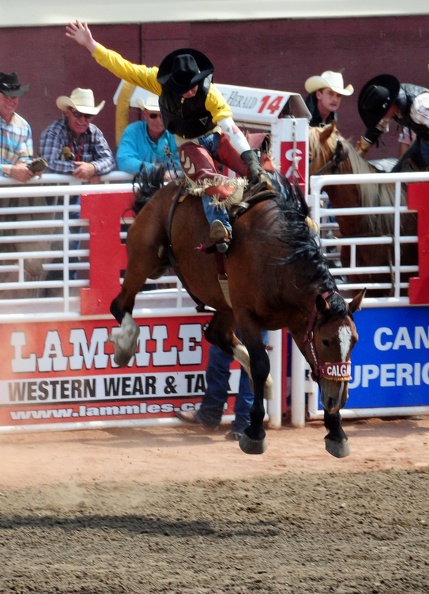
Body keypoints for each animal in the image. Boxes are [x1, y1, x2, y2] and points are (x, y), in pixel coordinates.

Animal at [108, 166, 362, 458]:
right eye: (327, 341)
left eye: (354, 341)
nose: (339, 397)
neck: (279, 261)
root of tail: (161, 192)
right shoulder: (247, 315)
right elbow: (262, 363)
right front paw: (254, 432)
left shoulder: (302, 324)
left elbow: (314, 366)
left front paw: (336, 431)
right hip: (144, 258)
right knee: (120, 305)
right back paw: (125, 346)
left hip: (222, 300)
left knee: (217, 335)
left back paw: (265, 385)